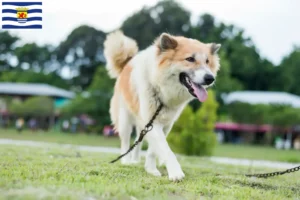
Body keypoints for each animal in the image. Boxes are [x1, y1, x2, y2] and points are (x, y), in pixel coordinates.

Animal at [103, 30, 220, 181]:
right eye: (190, 59)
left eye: (207, 61)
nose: (210, 78)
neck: (162, 89)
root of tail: (126, 64)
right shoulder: (153, 122)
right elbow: (165, 149)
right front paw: (175, 173)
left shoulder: (164, 124)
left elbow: (153, 150)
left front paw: (151, 169)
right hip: (125, 120)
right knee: (126, 141)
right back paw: (126, 161)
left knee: (138, 139)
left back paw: (136, 160)